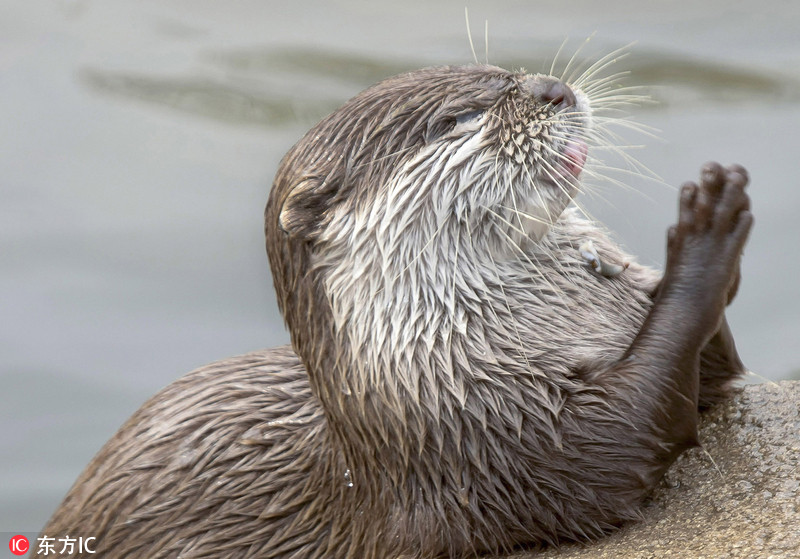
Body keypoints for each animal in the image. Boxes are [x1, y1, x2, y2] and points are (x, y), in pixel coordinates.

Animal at [36, 63, 752, 556]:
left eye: (507, 74)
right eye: (459, 118)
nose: (553, 89)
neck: (434, 370)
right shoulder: (501, 448)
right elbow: (629, 434)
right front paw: (706, 233)